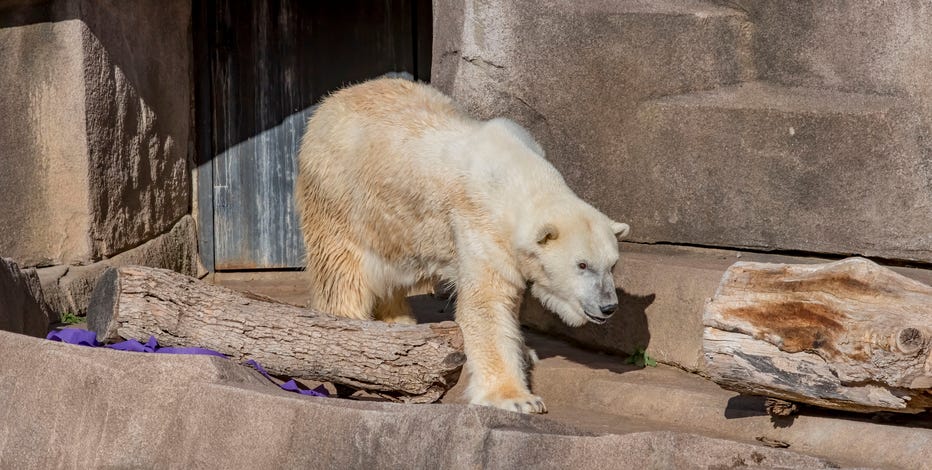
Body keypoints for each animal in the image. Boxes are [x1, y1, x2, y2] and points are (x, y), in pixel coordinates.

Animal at [295, 78, 629, 413]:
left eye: (612, 264)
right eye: (582, 264)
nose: (608, 306)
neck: (516, 174)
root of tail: (330, 102)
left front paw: (525, 351)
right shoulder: (480, 224)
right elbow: (487, 303)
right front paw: (518, 398)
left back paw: (400, 323)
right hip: (340, 195)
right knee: (343, 271)